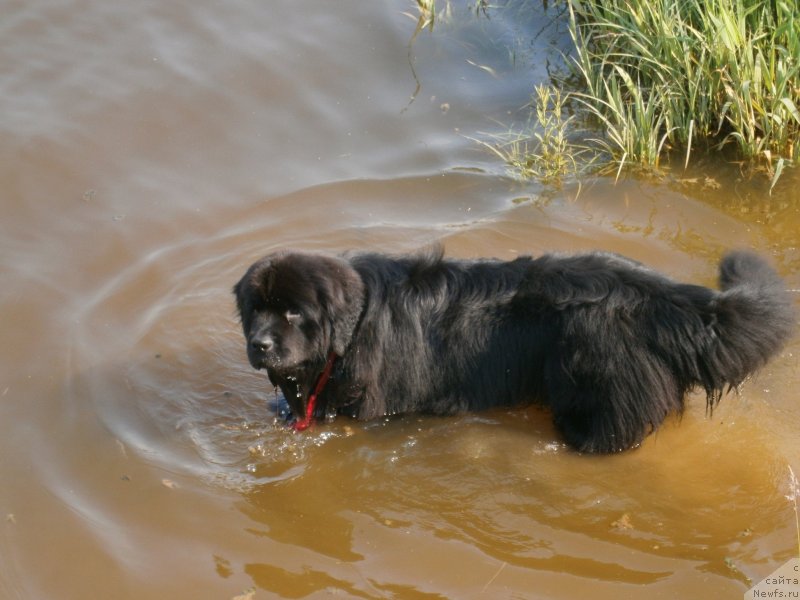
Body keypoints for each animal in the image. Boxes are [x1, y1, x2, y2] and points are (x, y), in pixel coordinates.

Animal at [233, 246, 792, 452]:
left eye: (294, 313)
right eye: (256, 309)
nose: (260, 344)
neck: (348, 334)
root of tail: (658, 295)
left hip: (597, 380)